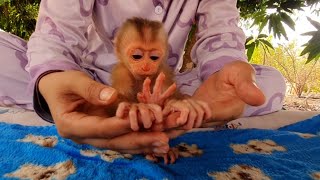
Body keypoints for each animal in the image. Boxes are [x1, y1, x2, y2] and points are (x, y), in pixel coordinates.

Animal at [111, 17, 211, 164]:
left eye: (154, 58)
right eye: (137, 56)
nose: (146, 66)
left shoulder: (163, 70)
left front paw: (174, 102)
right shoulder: (121, 72)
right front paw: (136, 107)